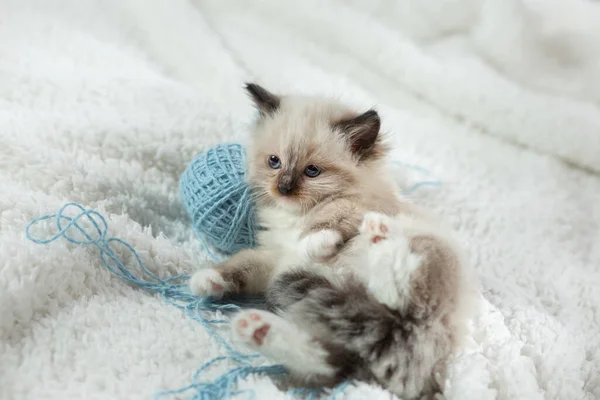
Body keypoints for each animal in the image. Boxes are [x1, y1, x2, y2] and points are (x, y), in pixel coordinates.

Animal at [190, 83, 476, 398]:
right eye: (274, 162)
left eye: (312, 171)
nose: (284, 188)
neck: (298, 214)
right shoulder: (273, 258)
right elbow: (240, 265)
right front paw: (207, 281)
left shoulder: (358, 209)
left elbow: (328, 224)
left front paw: (317, 242)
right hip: (342, 329)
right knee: (328, 361)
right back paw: (255, 328)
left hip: (426, 252)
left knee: (402, 293)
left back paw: (380, 236)